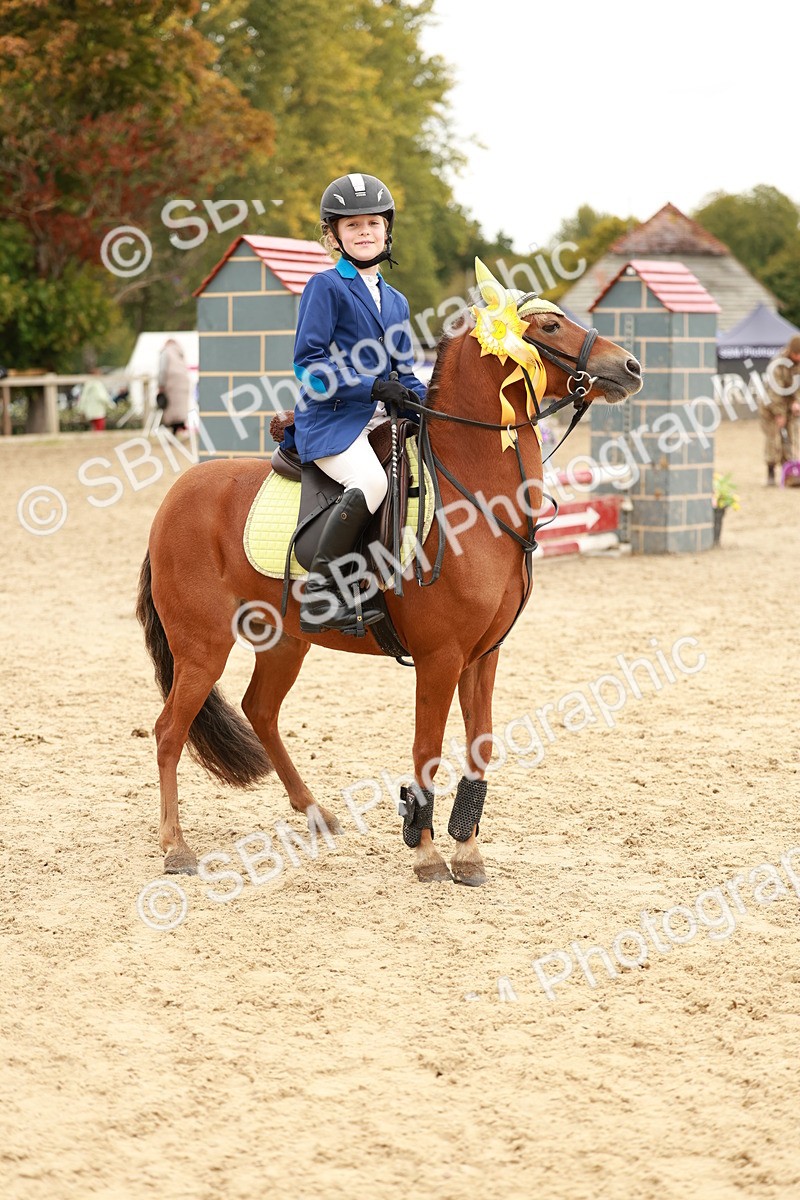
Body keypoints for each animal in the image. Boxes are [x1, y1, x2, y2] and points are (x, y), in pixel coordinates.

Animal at [136, 269, 642, 886]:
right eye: (547, 326)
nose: (630, 367)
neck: (474, 493)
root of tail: (174, 496)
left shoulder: (483, 655)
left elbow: (480, 745)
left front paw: (467, 852)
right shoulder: (440, 657)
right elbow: (427, 749)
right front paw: (426, 854)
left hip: (284, 641)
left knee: (261, 711)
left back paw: (315, 813)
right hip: (203, 646)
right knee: (169, 731)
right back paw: (174, 846)